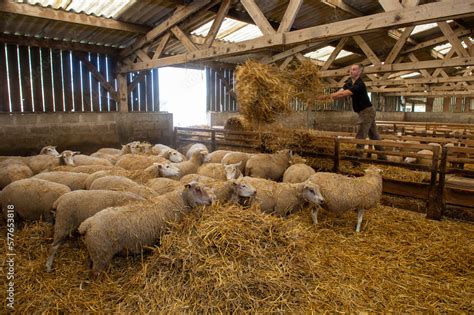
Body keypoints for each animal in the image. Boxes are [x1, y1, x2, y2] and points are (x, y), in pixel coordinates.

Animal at [78, 183, 212, 276]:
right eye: (197, 189)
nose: (211, 201)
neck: (180, 200)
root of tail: (88, 223)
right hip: (101, 254)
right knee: (95, 273)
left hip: (94, 252)